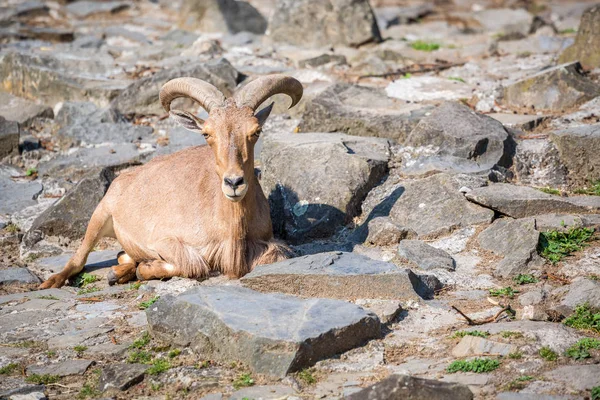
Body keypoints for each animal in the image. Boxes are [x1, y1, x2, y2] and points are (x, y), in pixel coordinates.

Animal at [39, 74, 302, 288]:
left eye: (256, 131)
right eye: (206, 133)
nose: (234, 182)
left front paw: (140, 268)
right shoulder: (164, 241)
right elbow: (192, 265)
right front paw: (147, 268)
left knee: (123, 255)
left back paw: (120, 272)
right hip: (100, 214)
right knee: (79, 259)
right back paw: (53, 281)